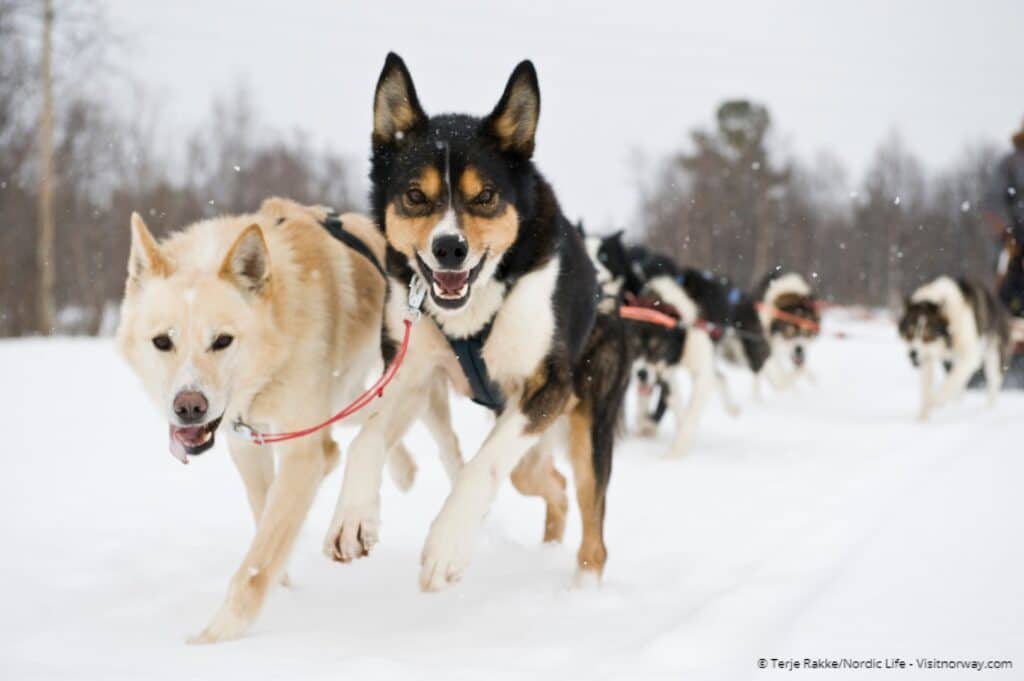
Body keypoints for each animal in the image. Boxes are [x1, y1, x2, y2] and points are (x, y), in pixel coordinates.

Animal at [115, 197, 460, 643]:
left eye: (222, 341)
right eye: (162, 341)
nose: (189, 406)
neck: (269, 364)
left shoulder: (302, 453)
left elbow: (257, 561)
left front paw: (216, 637)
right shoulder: (246, 444)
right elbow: (265, 518)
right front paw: (285, 589)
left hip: (417, 385)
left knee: (446, 445)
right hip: (347, 395)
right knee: (365, 424)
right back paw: (402, 469)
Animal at [897, 274, 1007, 417]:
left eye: (927, 336)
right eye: (909, 334)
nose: (912, 354)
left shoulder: (969, 356)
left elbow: (950, 382)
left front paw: (935, 401)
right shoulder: (927, 358)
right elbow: (927, 388)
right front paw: (922, 417)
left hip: (993, 356)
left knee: (993, 382)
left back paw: (989, 410)